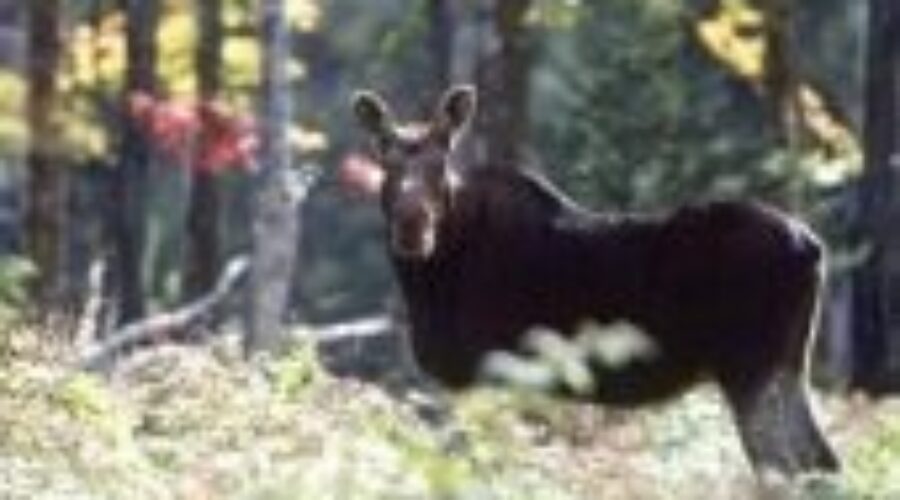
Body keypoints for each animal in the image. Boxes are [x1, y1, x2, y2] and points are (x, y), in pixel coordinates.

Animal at [349, 84, 839, 477]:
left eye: (442, 160)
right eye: (384, 159)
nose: (412, 224)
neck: (430, 282)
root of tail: (814, 246)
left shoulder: (491, 375)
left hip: (750, 364)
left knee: (787, 466)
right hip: (787, 364)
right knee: (820, 461)